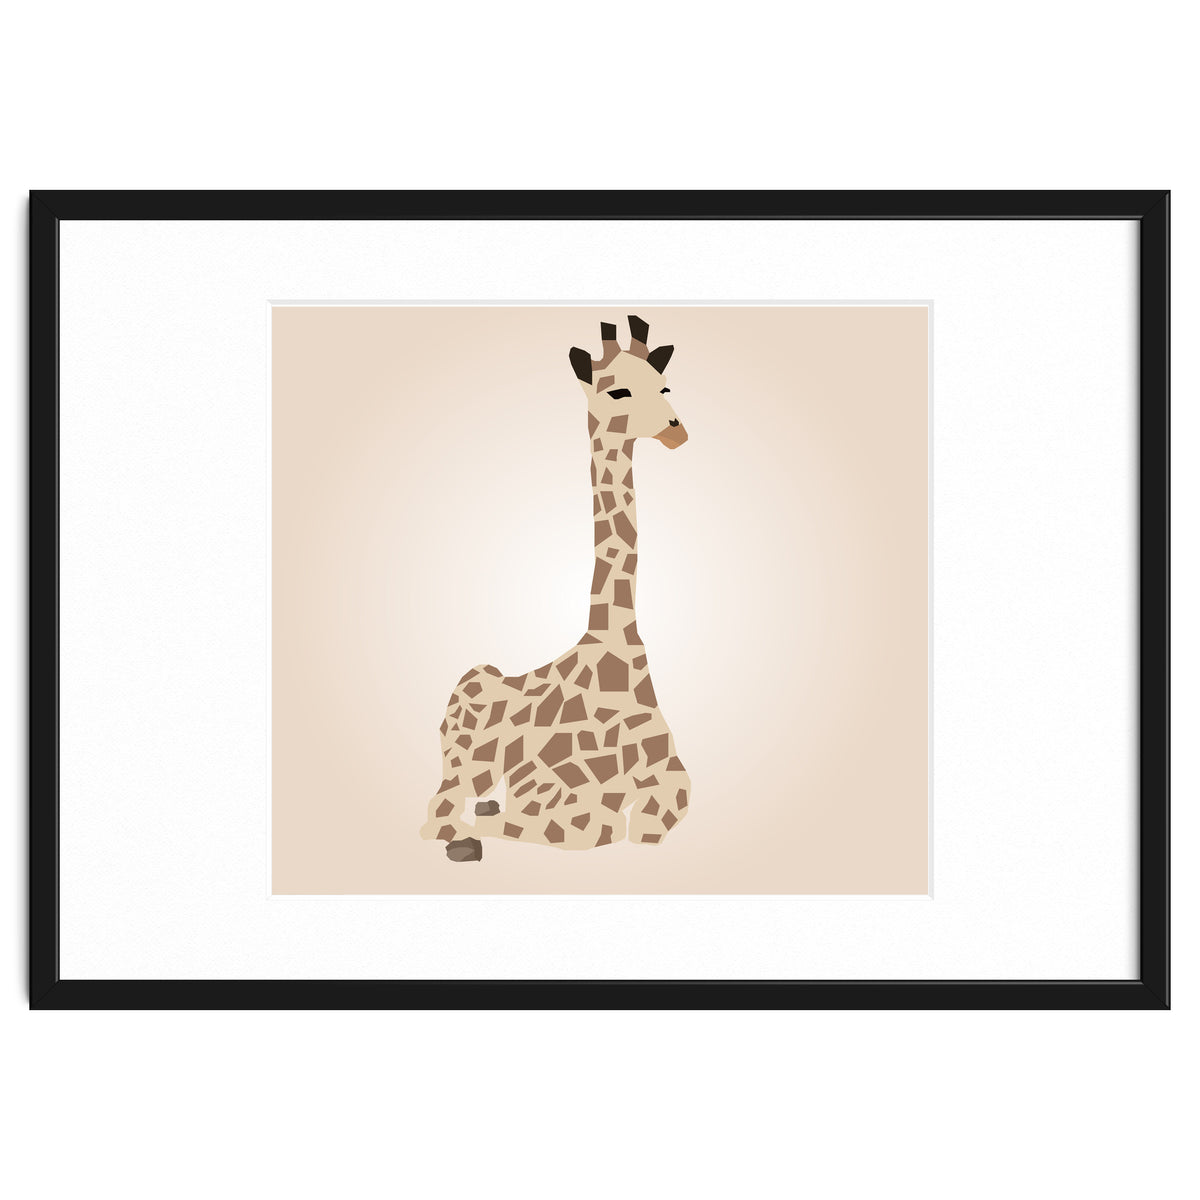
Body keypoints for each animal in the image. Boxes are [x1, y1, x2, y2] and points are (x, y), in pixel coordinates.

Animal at [418, 315, 692, 861]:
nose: (677, 432)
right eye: (617, 391)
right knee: (440, 811)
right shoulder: (560, 805)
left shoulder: (673, 786)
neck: (615, 649)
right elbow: (582, 827)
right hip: (461, 756)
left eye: (665, 386)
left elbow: (651, 821)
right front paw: (470, 838)